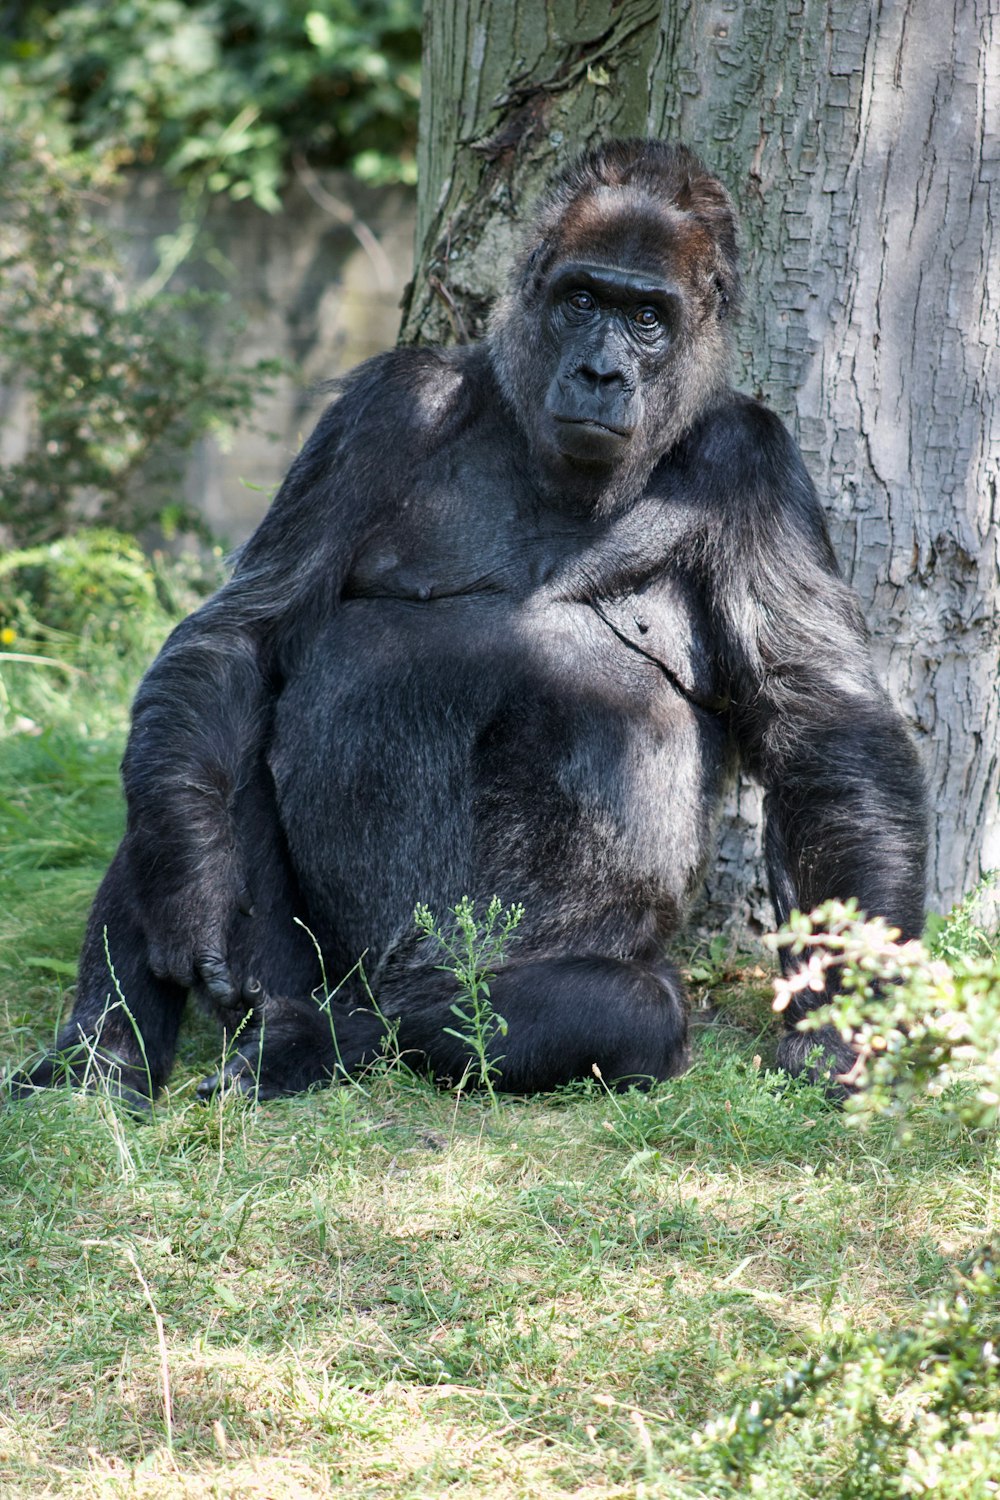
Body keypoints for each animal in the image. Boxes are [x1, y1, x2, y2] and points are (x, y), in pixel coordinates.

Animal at [19, 138, 929, 1104]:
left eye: (648, 317)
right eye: (582, 301)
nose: (600, 374)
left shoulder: (760, 468)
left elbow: (824, 729)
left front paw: (846, 1015)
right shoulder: (387, 405)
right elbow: (243, 636)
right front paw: (188, 876)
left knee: (614, 1010)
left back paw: (317, 1039)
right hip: (299, 960)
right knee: (193, 748)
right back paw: (100, 1056)